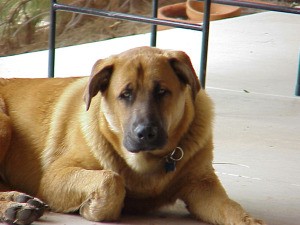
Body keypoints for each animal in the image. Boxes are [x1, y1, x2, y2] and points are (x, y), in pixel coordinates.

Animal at [0, 46, 264, 224]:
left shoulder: (203, 186)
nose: (145, 133)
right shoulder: (55, 177)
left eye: (162, 92)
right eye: (125, 94)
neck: (146, 165)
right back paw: (15, 206)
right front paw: (93, 208)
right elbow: (111, 180)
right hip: (5, 124)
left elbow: (234, 211)